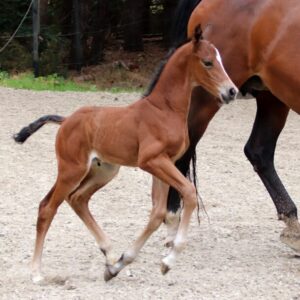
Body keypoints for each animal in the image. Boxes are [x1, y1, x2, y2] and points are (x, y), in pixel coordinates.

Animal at [14, 25, 238, 282]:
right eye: (208, 62)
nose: (232, 91)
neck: (165, 110)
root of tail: (66, 120)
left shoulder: (164, 163)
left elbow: (158, 213)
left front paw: (122, 263)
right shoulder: (152, 161)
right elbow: (189, 193)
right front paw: (168, 261)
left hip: (104, 171)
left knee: (77, 199)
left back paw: (110, 258)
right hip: (72, 170)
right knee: (47, 208)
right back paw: (37, 272)